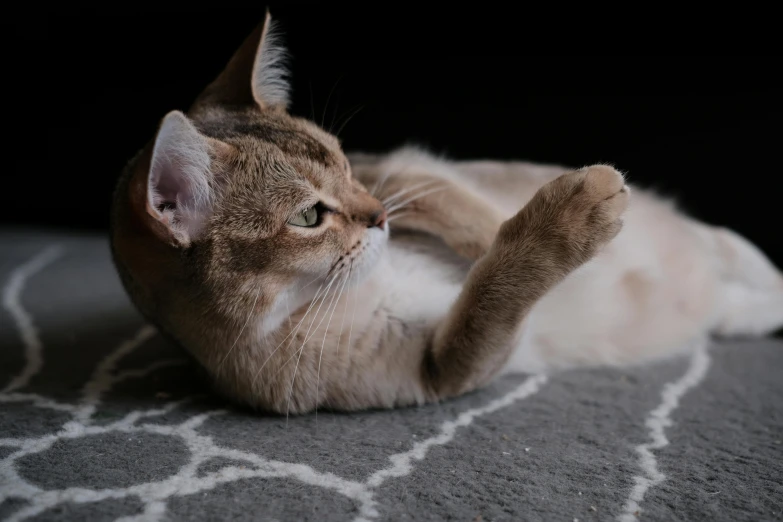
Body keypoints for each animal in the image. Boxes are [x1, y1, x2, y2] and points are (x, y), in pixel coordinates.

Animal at [108, 10, 783, 412]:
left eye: (345, 164)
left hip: (726, 241)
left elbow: (441, 194)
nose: (378, 218)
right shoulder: (440, 369)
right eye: (308, 218)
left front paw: (489, 228)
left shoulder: (393, 168)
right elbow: (493, 293)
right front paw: (567, 217)